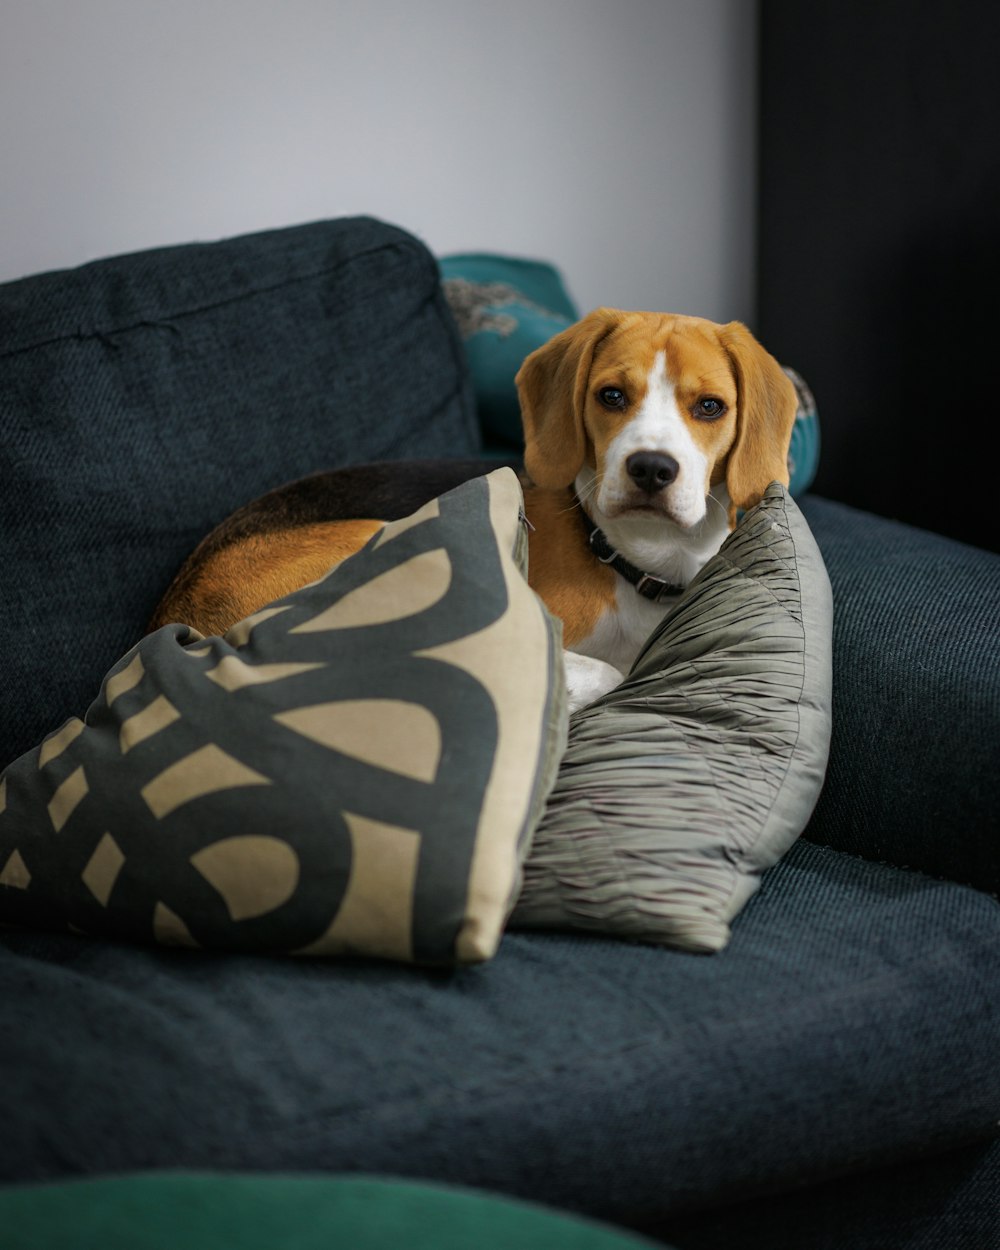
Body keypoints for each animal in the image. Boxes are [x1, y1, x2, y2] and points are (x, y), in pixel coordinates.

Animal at [148, 310, 795, 715]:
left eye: (709, 407)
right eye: (611, 396)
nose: (653, 469)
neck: (631, 559)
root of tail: (173, 616)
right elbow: (607, 671)